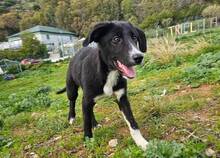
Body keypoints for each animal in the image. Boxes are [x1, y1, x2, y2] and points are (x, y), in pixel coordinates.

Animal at [57, 21, 149, 151]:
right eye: (116, 39)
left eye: (134, 37)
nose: (139, 57)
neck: (109, 72)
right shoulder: (87, 98)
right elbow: (85, 122)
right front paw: (88, 141)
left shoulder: (122, 98)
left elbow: (132, 121)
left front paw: (142, 142)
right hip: (72, 89)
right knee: (72, 101)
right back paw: (71, 118)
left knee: (89, 109)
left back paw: (95, 124)